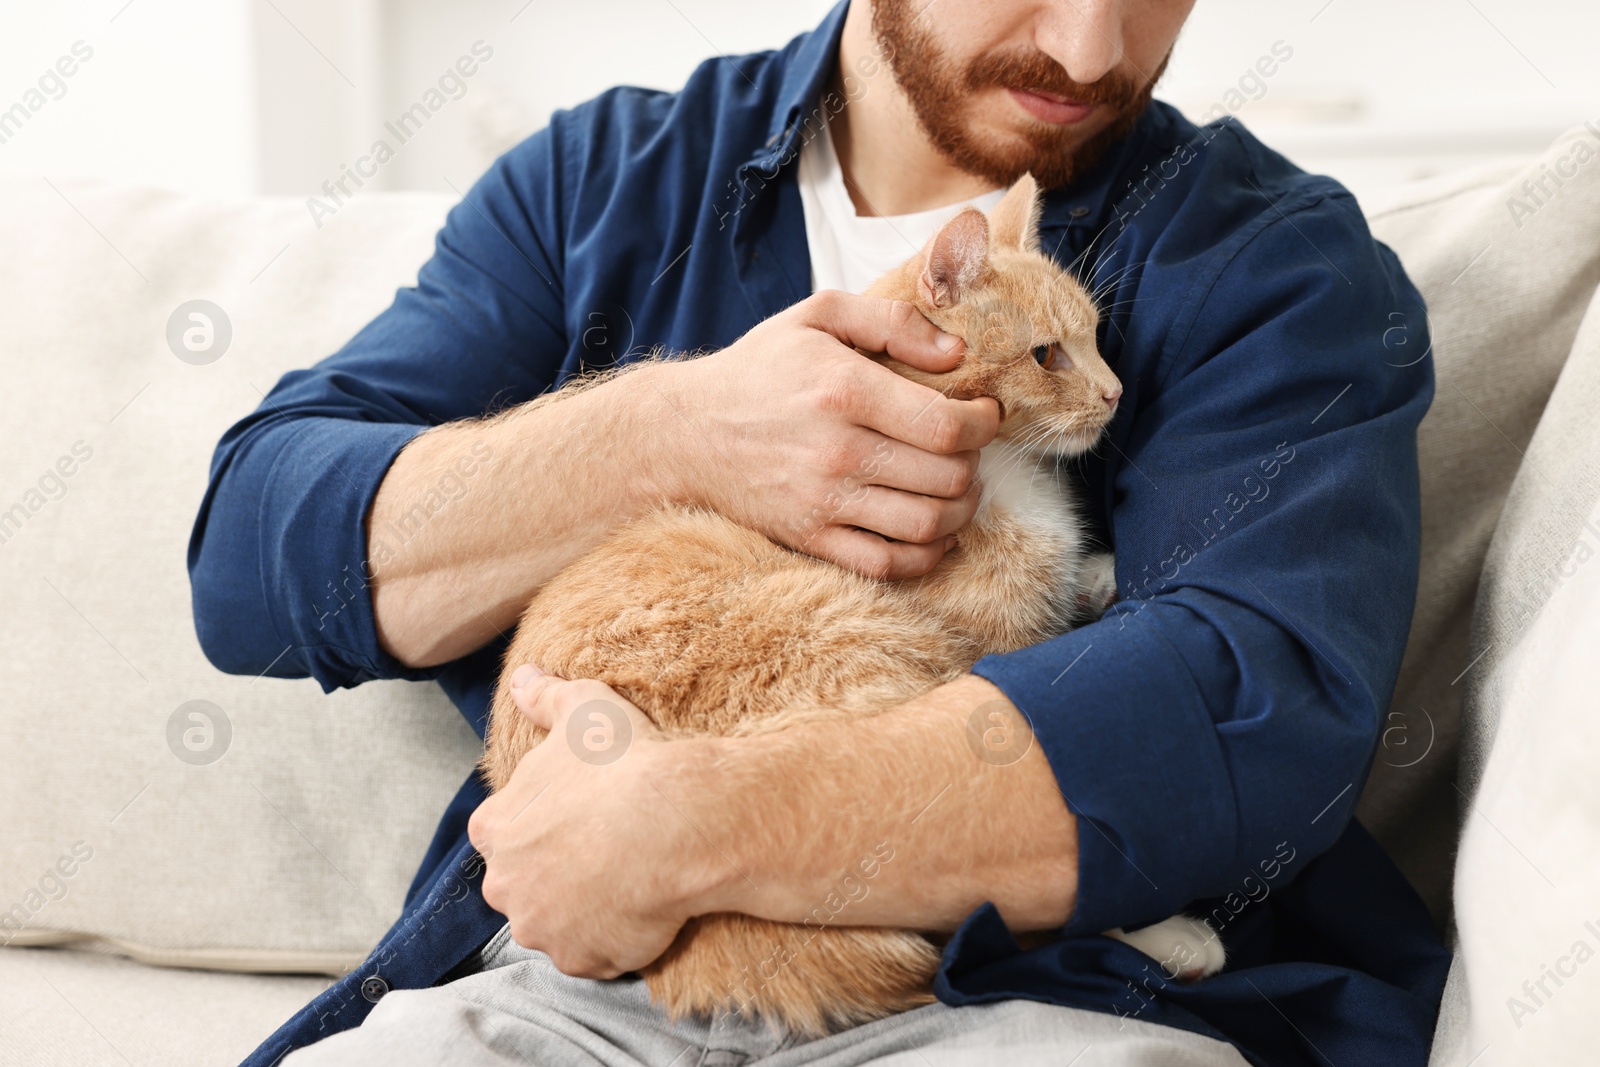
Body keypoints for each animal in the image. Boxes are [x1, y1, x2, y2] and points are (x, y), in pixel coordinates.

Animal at [480, 173, 1216, 1036]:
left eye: (1098, 338)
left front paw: (1098, 574)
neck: (1007, 477)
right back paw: (1174, 938)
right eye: (1046, 354)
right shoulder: (990, 661)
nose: (1115, 391)